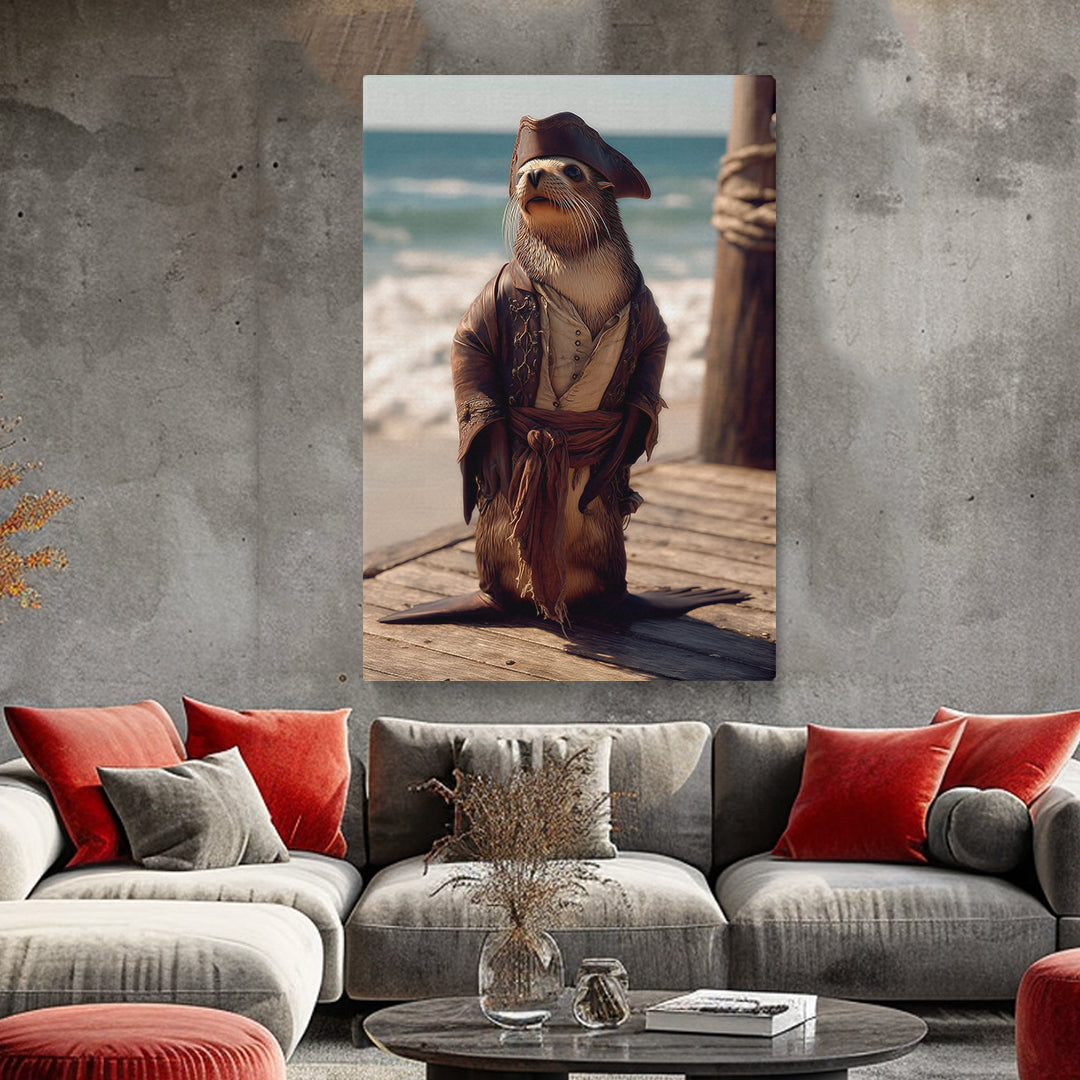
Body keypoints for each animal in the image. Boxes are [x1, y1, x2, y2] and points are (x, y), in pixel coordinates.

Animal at [380, 112, 748, 627]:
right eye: (521, 172)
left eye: (572, 170)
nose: (532, 175)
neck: (578, 274)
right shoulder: (488, 302)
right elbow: (468, 351)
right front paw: (494, 460)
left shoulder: (648, 310)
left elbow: (651, 369)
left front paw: (620, 455)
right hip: (492, 543)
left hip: (611, 546)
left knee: (615, 593)